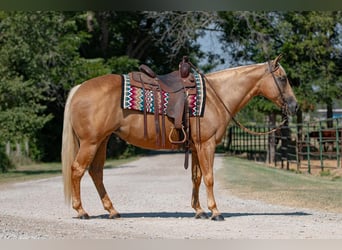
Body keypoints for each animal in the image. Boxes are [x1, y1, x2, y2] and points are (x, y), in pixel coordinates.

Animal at [61, 55, 296, 221]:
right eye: (283, 79)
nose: (294, 106)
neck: (216, 96)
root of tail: (80, 88)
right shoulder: (206, 145)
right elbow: (209, 177)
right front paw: (215, 211)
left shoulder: (196, 147)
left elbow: (197, 178)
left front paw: (199, 210)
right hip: (90, 142)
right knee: (77, 170)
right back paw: (81, 211)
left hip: (101, 141)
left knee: (96, 173)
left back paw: (112, 210)